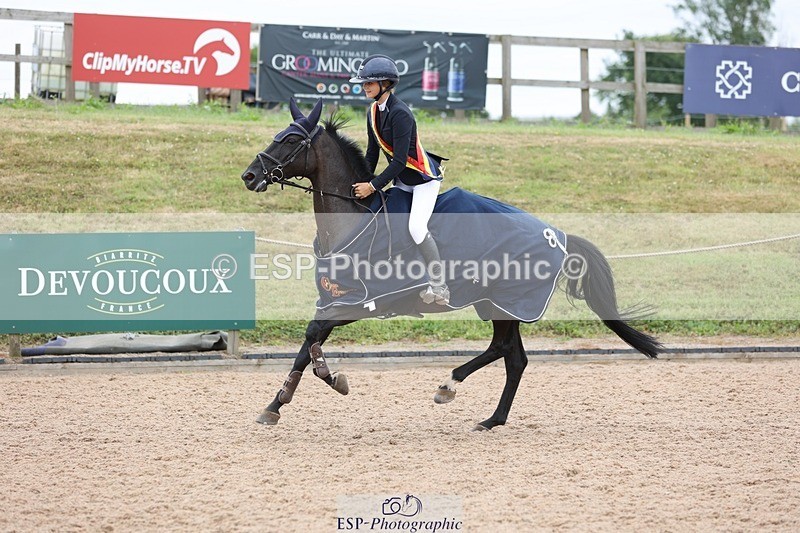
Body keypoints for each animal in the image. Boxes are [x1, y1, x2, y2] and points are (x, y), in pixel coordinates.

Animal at [240, 98, 662, 430]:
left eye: (291, 140)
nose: (250, 175)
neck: (352, 219)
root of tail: (557, 234)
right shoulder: (334, 298)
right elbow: (306, 343)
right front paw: (274, 407)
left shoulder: (364, 302)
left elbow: (313, 335)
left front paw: (333, 379)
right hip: (496, 303)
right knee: (512, 356)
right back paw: (486, 414)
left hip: (507, 300)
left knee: (507, 353)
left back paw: (455, 390)